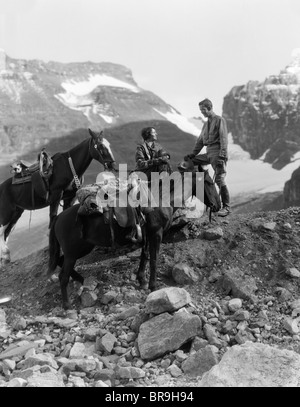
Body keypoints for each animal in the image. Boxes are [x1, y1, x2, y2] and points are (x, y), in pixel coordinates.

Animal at [0, 129, 116, 266]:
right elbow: (53, 217)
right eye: (100, 146)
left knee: (6, 233)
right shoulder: (56, 196)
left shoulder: (69, 198)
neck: (69, 167)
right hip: (6, 213)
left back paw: (5, 258)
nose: (112, 165)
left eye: (109, 144)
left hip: (16, 213)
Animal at [48, 167, 202, 310]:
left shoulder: (147, 235)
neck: (160, 199)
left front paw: (142, 280)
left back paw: (81, 280)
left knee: (60, 261)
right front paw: (153, 286)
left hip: (80, 250)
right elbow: (153, 259)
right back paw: (67, 304)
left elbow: (145, 256)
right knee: (63, 276)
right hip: (73, 252)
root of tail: (58, 218)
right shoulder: (156, 234)